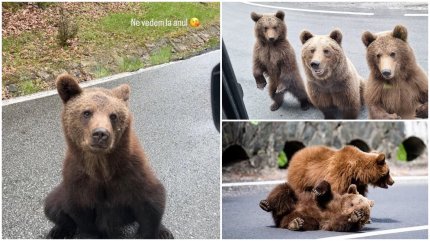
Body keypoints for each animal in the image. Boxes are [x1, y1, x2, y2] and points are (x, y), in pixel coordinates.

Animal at [42, 74, 172, 239]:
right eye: (87, 112)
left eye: (113, 115)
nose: (101, 133)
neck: (101, 165)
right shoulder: (78, 178)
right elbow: (82, 213)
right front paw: (89, 234)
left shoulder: (132, 171)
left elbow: (151, 202)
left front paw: (153, 232)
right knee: (52, 205)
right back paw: (59, 230)